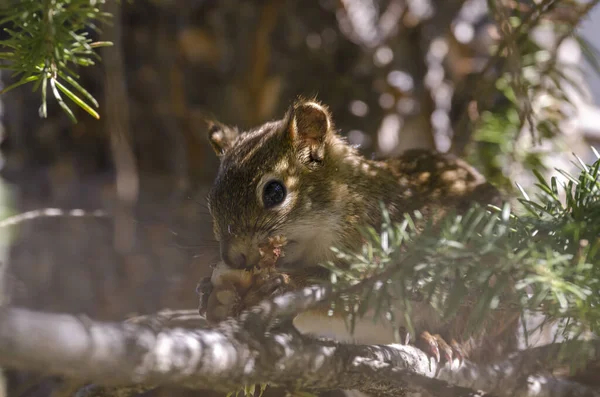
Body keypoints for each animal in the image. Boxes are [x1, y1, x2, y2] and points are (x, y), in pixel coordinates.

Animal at [198, 98, 520, 366]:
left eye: (275, 192)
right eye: (211, 200)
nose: (233, 258)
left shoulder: (389, 252)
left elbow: (355, 292)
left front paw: (282, 283)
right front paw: (210, 294)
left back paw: (442, 340)